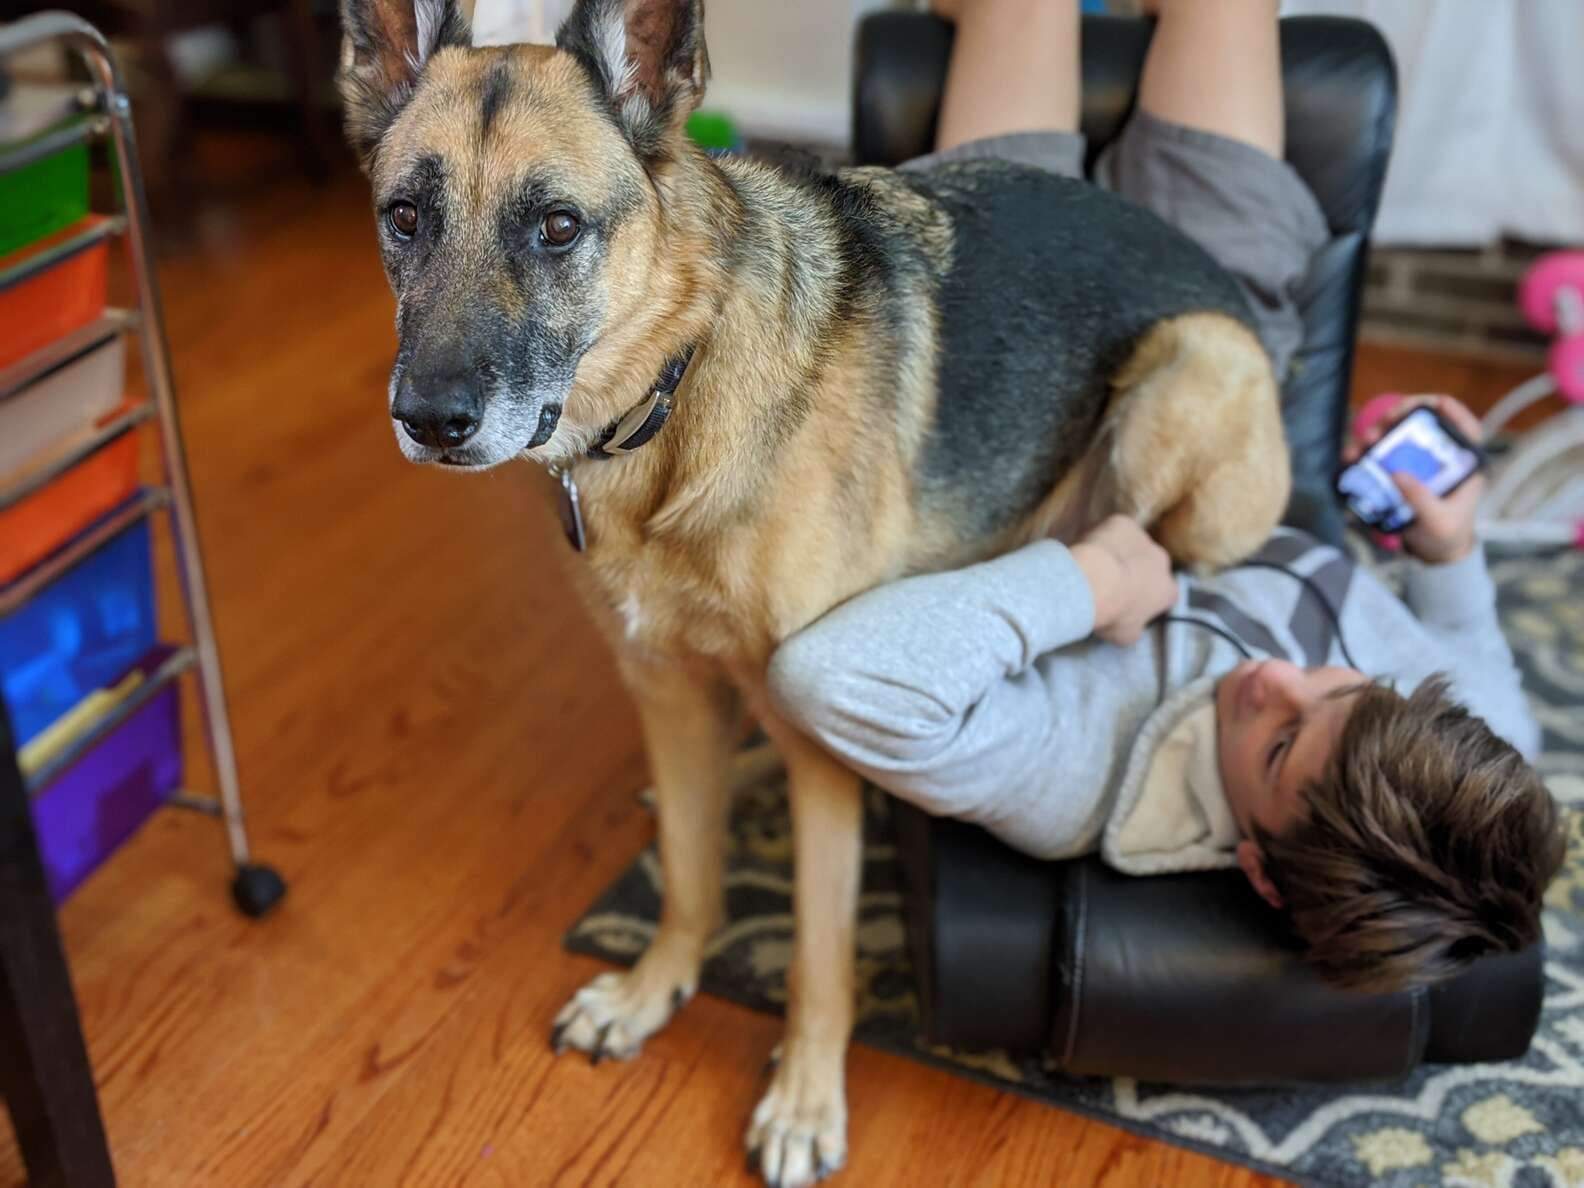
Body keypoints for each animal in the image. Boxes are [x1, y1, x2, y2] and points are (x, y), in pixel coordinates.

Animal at [340, 2, 1292, 1184]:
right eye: (405, 218)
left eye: (556, 227)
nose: (428, 421)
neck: (670, 391)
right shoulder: (666, 694)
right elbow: (691, 876)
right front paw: (653, 989)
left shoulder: (821, 750)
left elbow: (819, 951)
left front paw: (802, 1099)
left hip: (1184, 372)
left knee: (1142, 560)